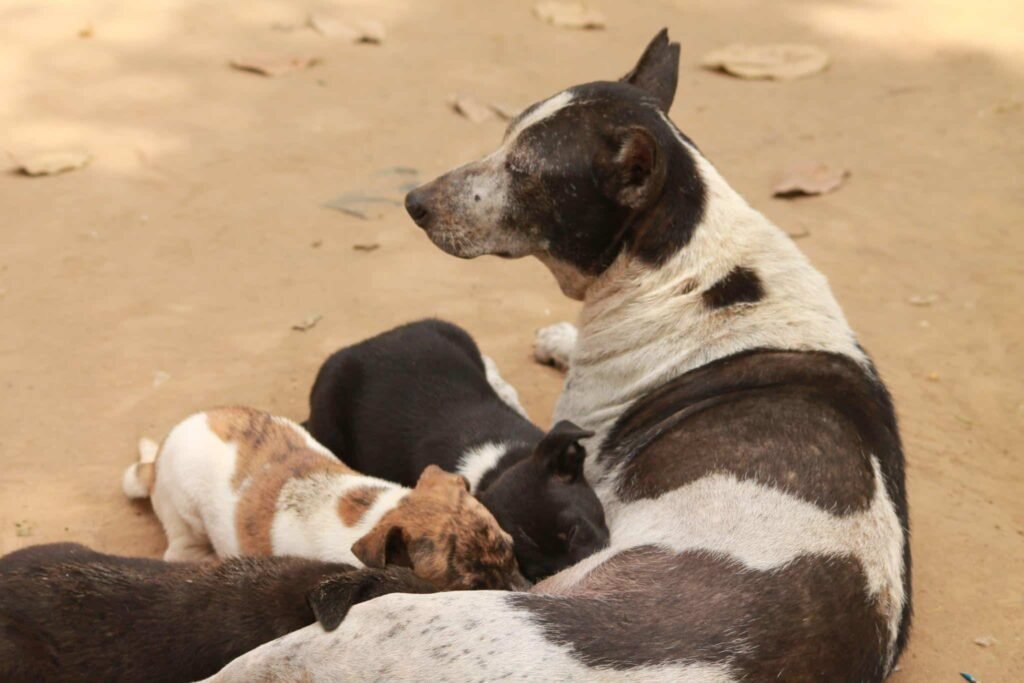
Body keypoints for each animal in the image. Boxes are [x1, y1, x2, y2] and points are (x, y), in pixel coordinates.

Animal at [124, 405, 528, 593]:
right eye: (474, 589)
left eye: (512, 553)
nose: (524, 592)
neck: (379, 513)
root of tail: (158, 456)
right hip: (185, 516)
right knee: (181, 548)